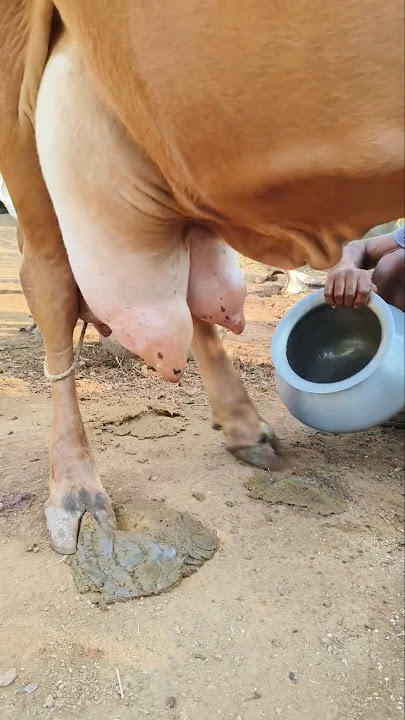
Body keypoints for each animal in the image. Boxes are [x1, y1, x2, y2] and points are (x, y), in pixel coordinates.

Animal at [0, 0, 403, 554]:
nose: (170, 369)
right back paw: (75, 495)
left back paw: (245, 429)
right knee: (51, 279)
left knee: (189, 288)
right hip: (20, 106)